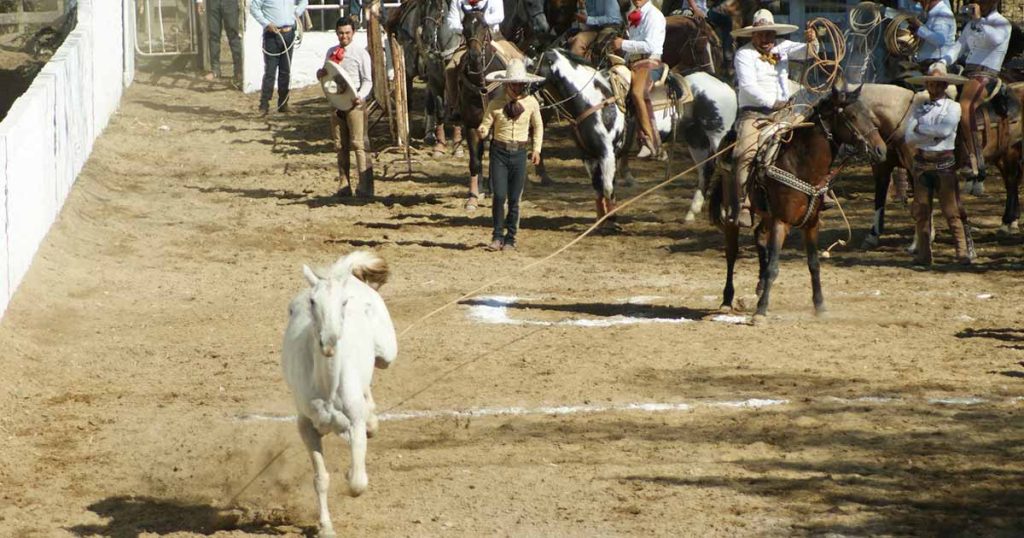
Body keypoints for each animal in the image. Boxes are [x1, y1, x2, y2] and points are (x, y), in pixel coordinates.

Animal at [282, 251, 397, 536]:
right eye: (313, 301)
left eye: (344, 302)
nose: (330, 341)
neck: (328, 387)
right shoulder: (306, 427)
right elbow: (320, 478)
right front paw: (325, 527)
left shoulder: (354, 421)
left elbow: (357, 480)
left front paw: (350, 475)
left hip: (387, 353)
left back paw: (372, 421)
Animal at [712, 86, 888, 323]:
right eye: (851, 116)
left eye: (868, 115)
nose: (881, 150)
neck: (800, 164)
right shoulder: (781, 222)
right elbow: (774, 267)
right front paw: (761, 311)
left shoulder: (811, 223)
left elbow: (814, 264)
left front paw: (820, 306)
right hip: (733, 210)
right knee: (732, 252)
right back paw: (726, 300)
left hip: (767, 214)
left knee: (759, 237)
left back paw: (759, 287)